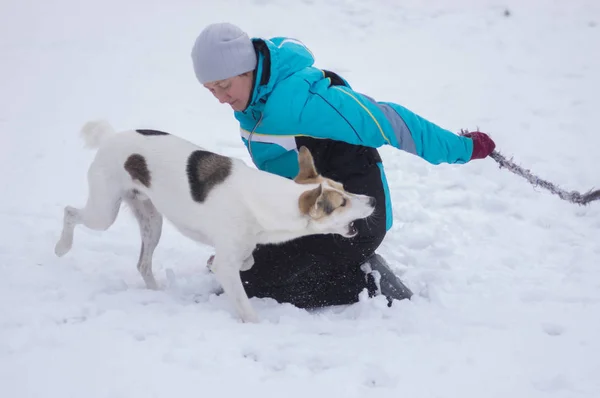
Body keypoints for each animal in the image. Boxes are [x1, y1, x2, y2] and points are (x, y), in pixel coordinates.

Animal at [55, 121, 376, 324]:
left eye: (344, 187)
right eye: (342, 203)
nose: (372, 200)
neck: (265, 200)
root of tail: (110, 137)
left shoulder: (239, 248)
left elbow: (245, 261)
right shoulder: (227, 262)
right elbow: (243, 302)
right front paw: (255, 324)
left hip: (152, 221)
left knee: (143, 264)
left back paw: (158, 293)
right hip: (103, 212)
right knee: (70, 211)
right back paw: (61, 247)